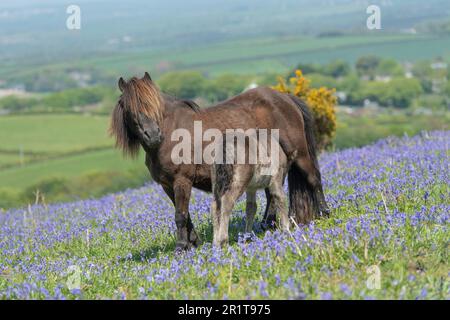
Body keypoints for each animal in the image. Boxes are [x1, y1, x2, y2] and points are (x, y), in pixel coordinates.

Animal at [109, 72, 326, 250]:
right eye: (130, 108)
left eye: (153, 105)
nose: (153, 135)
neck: (171, 133)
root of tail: (285, 97)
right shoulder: (167, 185)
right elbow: (184, 214)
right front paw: (193, 242)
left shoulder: (182, 180)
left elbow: (180, 215)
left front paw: (181, 246)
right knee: (272, 194)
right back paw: (266, 225)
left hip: (300, 155)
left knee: (313, 179)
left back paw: (324, 212)